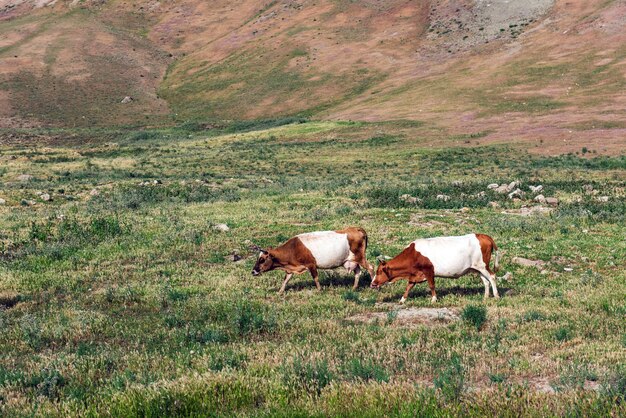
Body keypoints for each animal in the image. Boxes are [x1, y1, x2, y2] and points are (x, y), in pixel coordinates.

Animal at [370, 232, 498, 304]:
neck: (413, 254)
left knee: (492, 276)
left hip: (483, 266)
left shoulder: (428, 270)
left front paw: (433, 299)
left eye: (379, 271)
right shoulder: (414, 275)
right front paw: (402, 300)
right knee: (486, 281)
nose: (372, 283)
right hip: (478, 268)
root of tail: (483, 236)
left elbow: (431, 286)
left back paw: (496, 296)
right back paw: (485, 297)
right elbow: (408, 287)